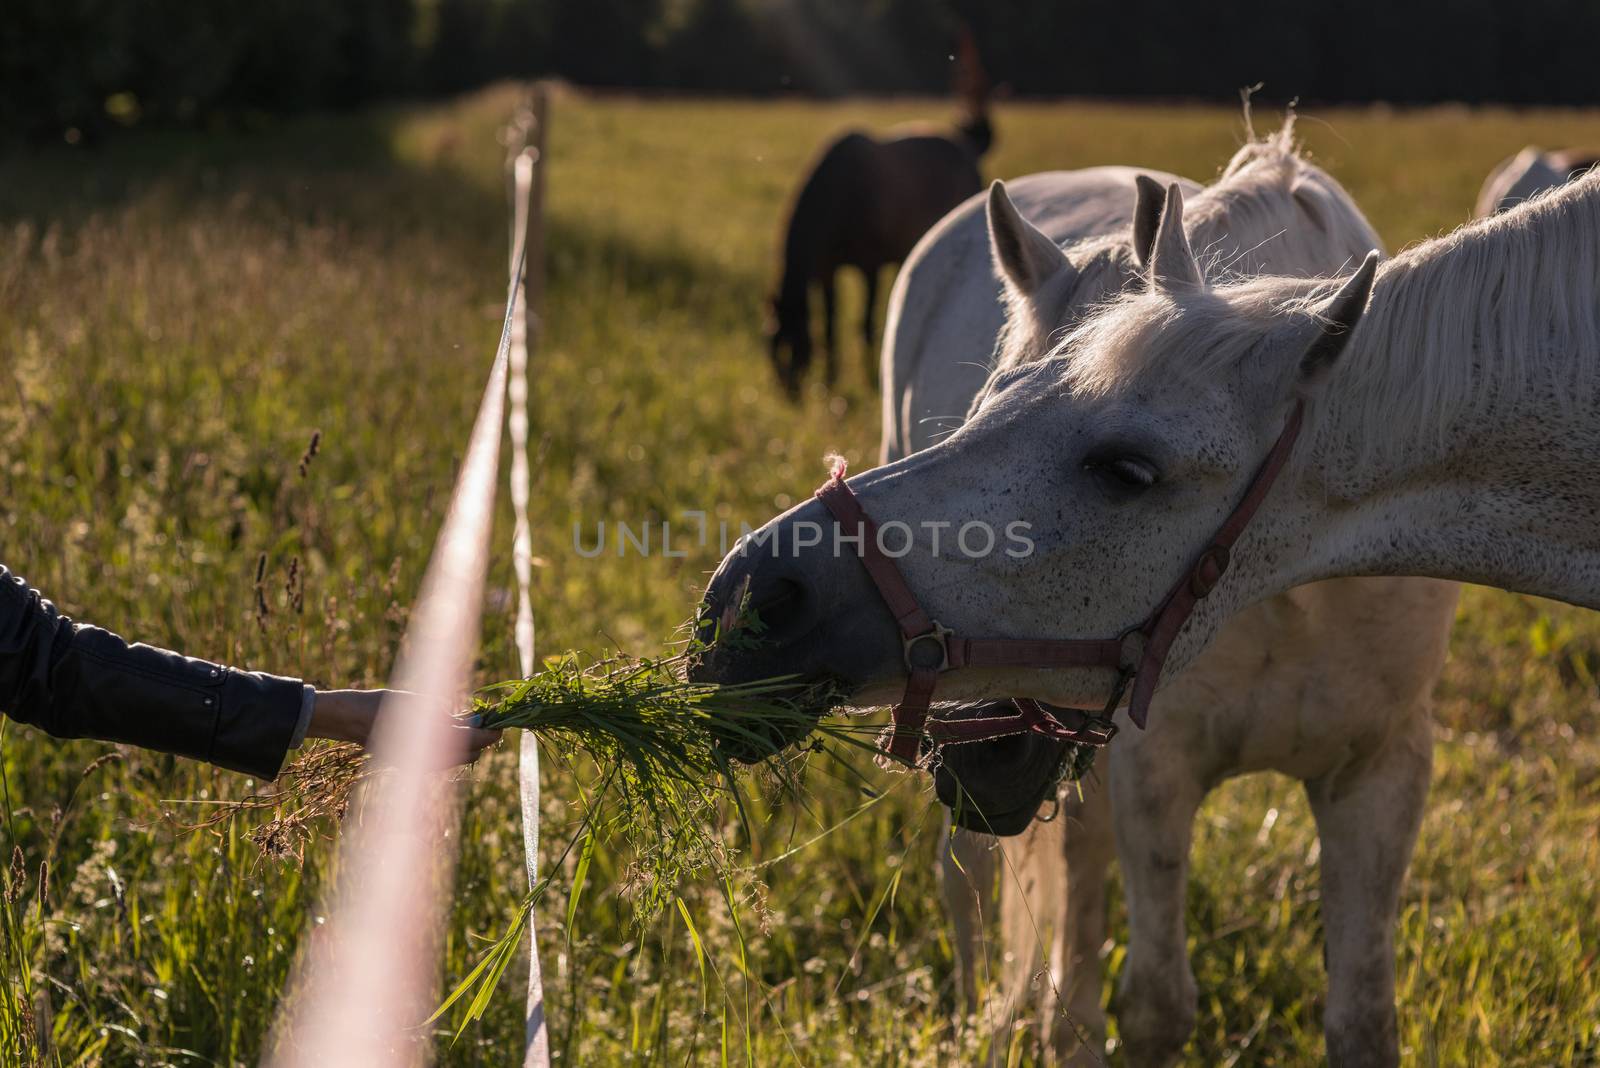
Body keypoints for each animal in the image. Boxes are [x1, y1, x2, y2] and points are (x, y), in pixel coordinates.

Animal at [761, 36, 985, 399]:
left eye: (793, 346)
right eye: (771, 346)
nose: (789, 395)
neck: (840, 197)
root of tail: (969, 148)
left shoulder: (870, 268)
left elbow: (864, 325)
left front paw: (867, 382)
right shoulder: (827, 270)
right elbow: (830, 326)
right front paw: (831, 380)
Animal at [889, 135, 1465, 1068]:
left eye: (1121, 472)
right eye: (980, 421)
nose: (978, 752)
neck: (1290, 590)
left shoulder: (1379, 772)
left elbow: (1364, 1022)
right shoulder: (1155, 767)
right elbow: (1159, 1005)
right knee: (976, 871)